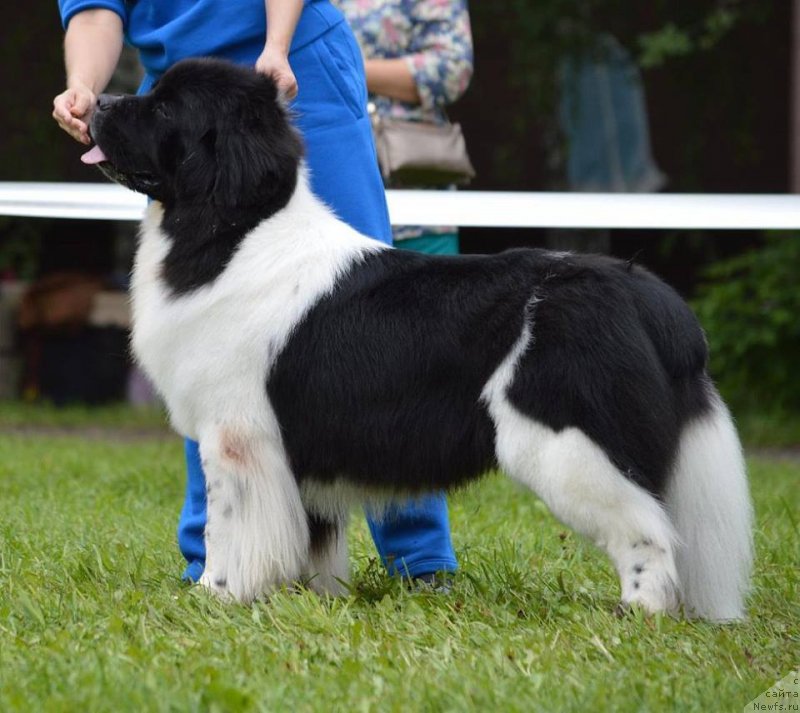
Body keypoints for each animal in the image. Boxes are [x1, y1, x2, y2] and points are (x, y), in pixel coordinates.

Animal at [84, 59, 752, 616]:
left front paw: (215, 595)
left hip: (568, 443)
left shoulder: (238, 439)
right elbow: (313, 540)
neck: (233, 232)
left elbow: (228, 526)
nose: (95, 102)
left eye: (164, 108)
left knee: (649, 532)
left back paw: (636, 615)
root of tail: (647, 293)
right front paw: (310, 602)